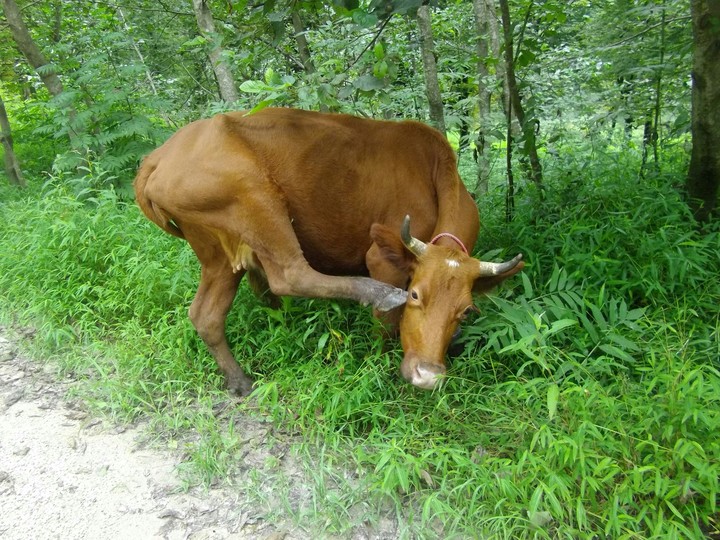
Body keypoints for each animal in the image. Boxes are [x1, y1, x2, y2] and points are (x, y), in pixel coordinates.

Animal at [133, 108, 524, 395]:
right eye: (415, 294)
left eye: (467, 311)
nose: (426, 375)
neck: (436, 173)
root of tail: (159, 154)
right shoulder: (381, 257)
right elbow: (385, 327)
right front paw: (381, 360)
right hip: (255, 196)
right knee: (288, 275)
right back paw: (376, 293)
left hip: (217, 251)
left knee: (206, 314)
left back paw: (239, 379)